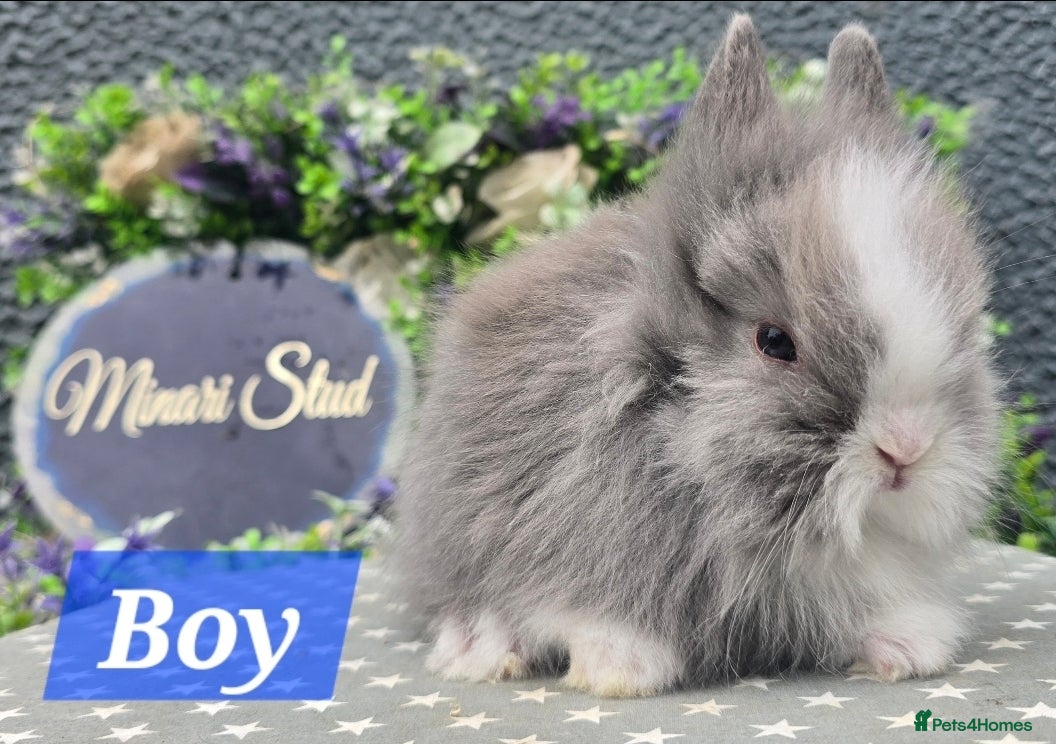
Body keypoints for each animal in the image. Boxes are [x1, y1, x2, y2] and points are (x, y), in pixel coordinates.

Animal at [394, 14, 1001, 697]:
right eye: (774, 342)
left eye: (965, 328)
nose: (906, 449)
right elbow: (588, 607)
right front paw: (618, 669)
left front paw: (908, 647)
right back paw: (480, 645)